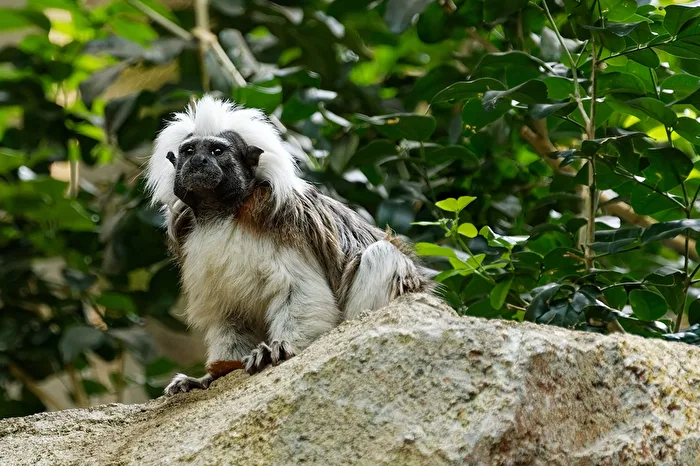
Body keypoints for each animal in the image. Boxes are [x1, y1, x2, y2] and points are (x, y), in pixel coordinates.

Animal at [145, 95, 433, 396]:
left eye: (217, 150)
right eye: (189, 150)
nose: (198, 161)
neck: (222, 214)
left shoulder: (282, 224)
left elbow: (301, 293)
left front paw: (278, 350)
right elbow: (230, 317)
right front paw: (209, 377)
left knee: (382, 255)